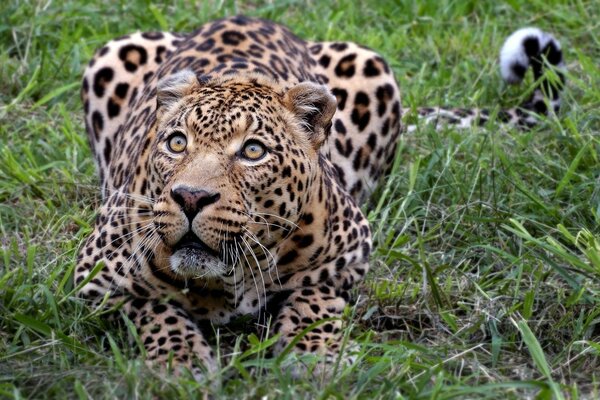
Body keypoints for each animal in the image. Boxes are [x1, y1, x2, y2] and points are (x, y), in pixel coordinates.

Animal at [74, 15, 564, 378]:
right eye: (177, 143)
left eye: (253, 151)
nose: (190, 197)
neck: (231, 279)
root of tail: (248, 14)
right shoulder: (93, 277)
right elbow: (153, 308)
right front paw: (182, 362)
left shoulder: (351, 252)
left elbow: (315, 296)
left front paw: (314, 356)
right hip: (113, 52)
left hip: (370, 64)